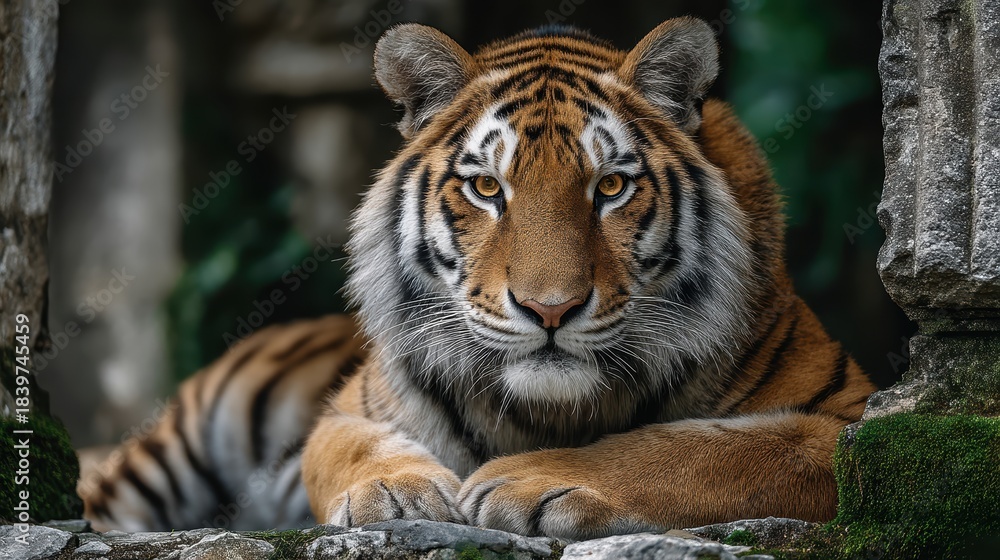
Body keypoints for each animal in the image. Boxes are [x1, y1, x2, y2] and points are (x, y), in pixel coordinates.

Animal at [78, 17, 875, 538]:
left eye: (612, 186)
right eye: (488, 188)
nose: (550, 310)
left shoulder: (846, 420)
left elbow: (711, 447)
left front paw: (528, 479)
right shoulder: (348, 409)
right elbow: (343, 448)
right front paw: (396, 493)